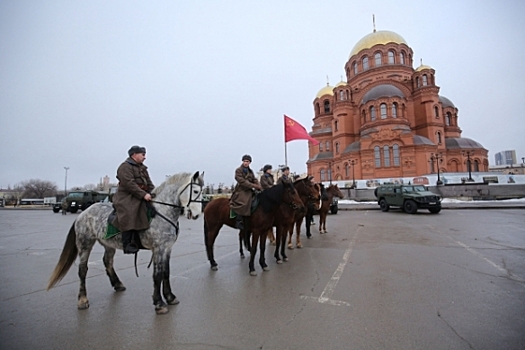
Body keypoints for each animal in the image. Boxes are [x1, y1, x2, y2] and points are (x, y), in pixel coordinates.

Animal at [47, 172, 203, 314]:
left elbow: (166, 272)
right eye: (195, 191)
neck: (162, 212)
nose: (196, 215)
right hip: (85, 244)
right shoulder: (158, 249)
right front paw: (159, 303)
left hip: (109, 244)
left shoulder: (167, 249)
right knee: (83, 270)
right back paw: (82, 300)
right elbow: (157, 275)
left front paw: (170, 297)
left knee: (107, 261)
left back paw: (118, 284)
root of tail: (83, 213)